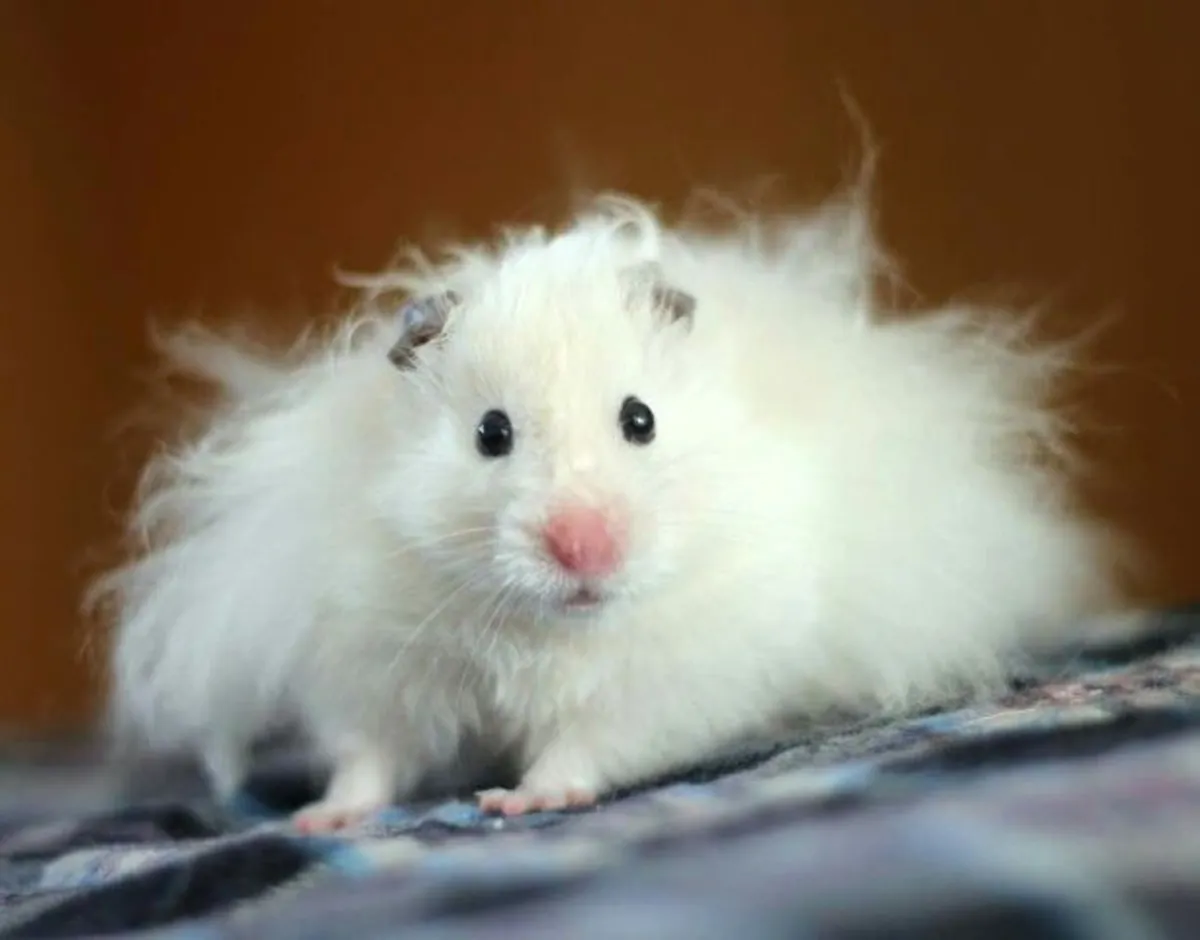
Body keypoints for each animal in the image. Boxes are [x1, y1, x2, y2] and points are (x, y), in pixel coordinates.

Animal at [88, 189, 1125, 830]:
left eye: (641, 420)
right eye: (491, 434)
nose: (583, 546)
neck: (540, 627)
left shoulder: (663, 681)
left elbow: (586, 747)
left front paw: (519, 804)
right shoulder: (369, 657)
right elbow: (369, 756)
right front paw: (323, 818)